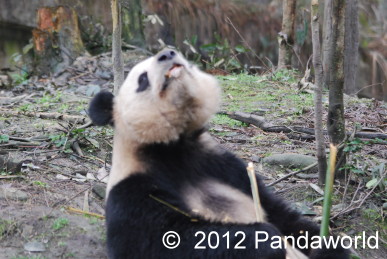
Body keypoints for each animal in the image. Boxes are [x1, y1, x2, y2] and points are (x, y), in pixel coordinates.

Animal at [89, 49, 350, 259]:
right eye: (142, 78)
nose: (167, 53)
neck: (171, 148)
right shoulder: (132, 191)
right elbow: (166, 242)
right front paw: (264, 240)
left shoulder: (222, 165)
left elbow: (277, 211)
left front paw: (327, 245)